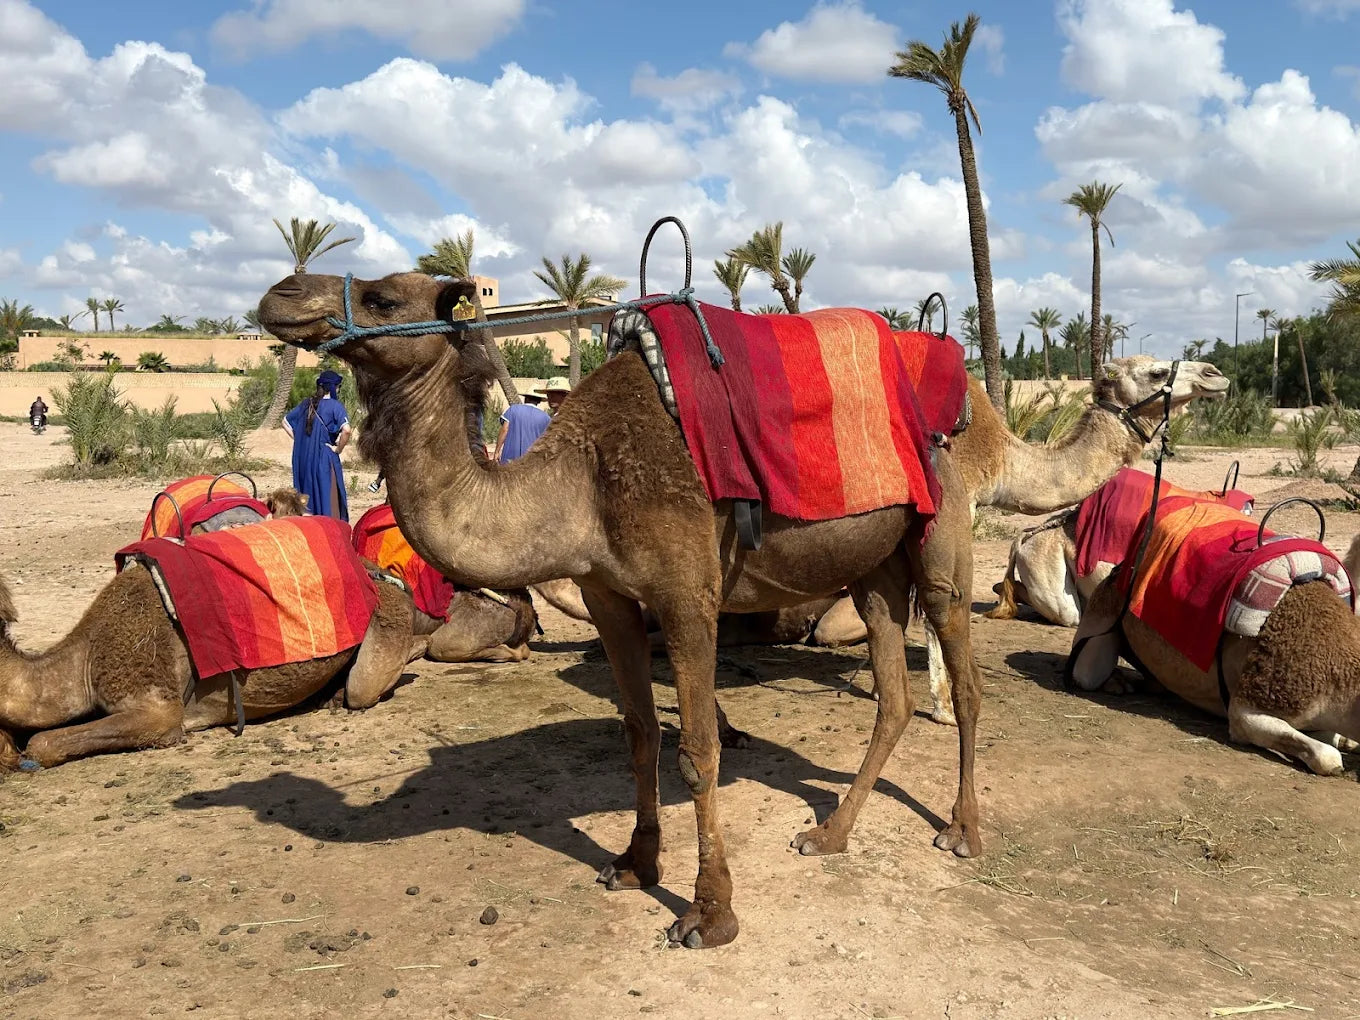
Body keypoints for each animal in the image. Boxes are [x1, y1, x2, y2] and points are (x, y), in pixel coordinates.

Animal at [259, 270, 984, 950]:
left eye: (381, 298)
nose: (281, 293)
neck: (580, 482)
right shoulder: (607, 595)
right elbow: (640, 735)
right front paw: (636, 865)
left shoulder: (688, 594)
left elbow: (698, 751)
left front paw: (709, 914)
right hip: (873, 567)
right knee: (892, 694)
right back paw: (829, 833)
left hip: (942, 533)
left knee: (964, 672)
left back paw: (962, 831)